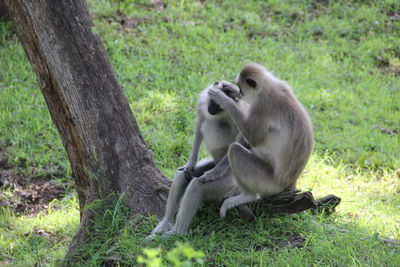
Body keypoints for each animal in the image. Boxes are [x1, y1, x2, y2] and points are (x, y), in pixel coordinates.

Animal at [148, 81, 252, 239]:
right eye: (213, 103)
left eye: (219, 105)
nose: (212, 110)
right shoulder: (202, 103)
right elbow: (199, 124)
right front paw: (190, 164)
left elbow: (243, 139)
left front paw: (214, 173)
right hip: (212, 162)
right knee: (183, 175)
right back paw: (166, 223)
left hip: (229, 180)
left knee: (197, 185)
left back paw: (177, 233)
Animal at [205, 63, 314, 220]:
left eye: (242, 88)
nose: (239, 91)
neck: (268, 87)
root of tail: (289, 184)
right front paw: (229, 88)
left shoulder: (263, 105)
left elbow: (253, 138)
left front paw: (225, 100)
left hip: (267, 183)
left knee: (235, 150)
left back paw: (246, 196)